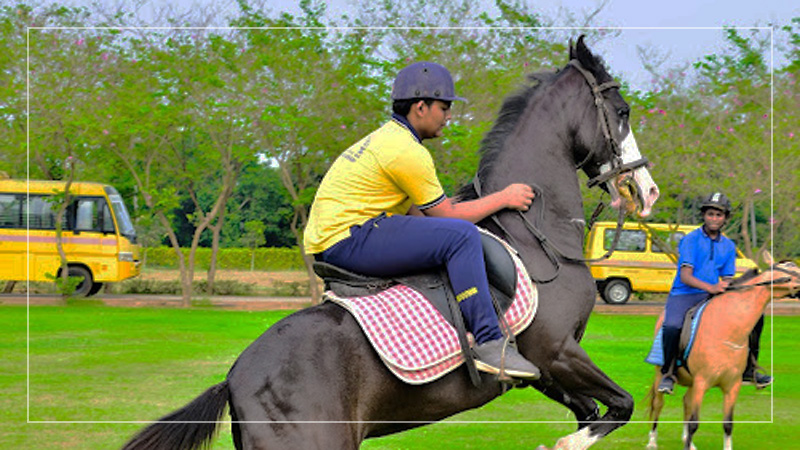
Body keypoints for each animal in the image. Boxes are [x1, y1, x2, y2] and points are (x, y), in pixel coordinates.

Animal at [125, 37, 660, 450]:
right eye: (622, 112)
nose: (648, 190)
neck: (533, 233)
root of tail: (235, 378)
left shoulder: (547, 370)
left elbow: (597, 410)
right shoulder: (556, 352)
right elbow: (621, 406)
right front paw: (569, 441)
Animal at [648, 253, 796, 450]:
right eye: (791, 270)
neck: (727, 329)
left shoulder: (732, 386)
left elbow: (727, 424)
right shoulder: (702, 381)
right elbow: (694, 422)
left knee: (686, 402)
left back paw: (687, 441)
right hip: (661, 374)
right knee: (658, 404)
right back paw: (652, 441)